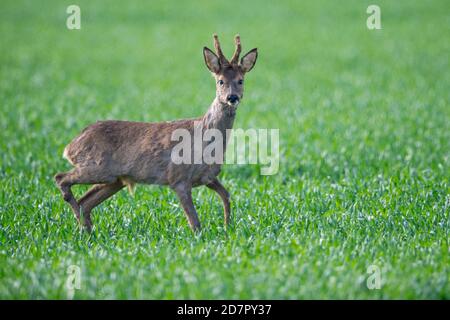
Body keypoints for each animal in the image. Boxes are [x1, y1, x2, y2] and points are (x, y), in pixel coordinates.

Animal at [54, 34, 256, 232]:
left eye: (241, 80)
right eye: (220, 81)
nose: (232, 97)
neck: (204, 137)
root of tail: (70, 146)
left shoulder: (208, 176)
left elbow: (226, 195)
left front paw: (228, 227)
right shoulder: (178, 177)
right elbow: (195, 223)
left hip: (114, 179)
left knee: (85, 202)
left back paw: (88, 230)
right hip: (97, 166)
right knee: (61, 178)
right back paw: (82, 225)